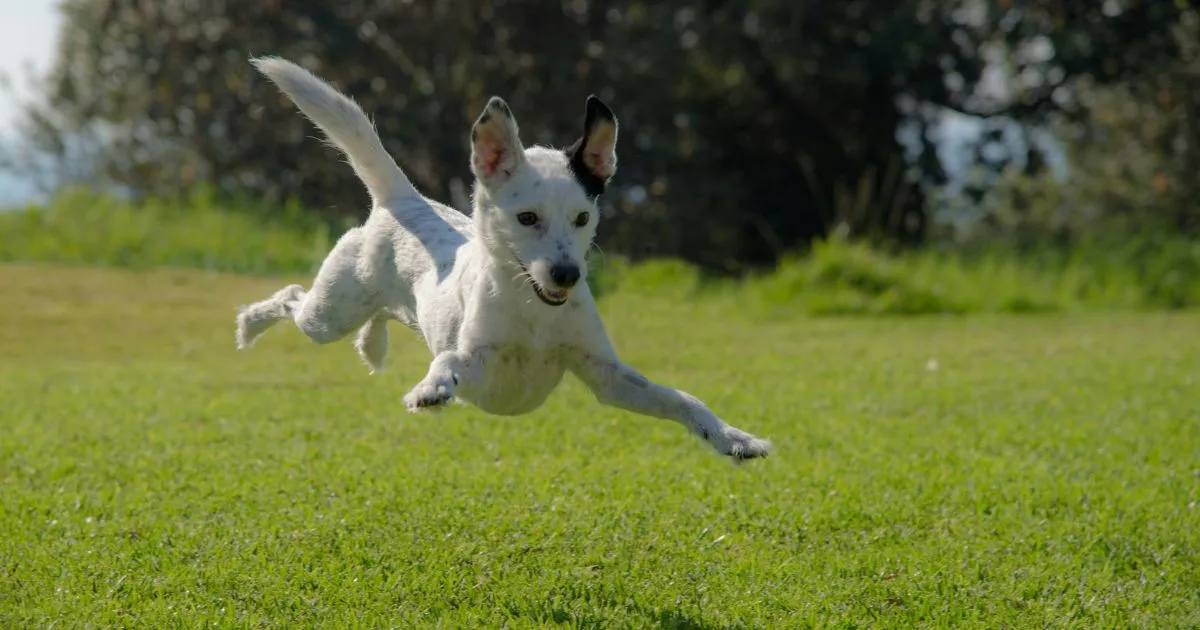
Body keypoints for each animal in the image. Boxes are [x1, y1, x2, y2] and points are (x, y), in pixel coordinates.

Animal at [234, 56, 772, 458]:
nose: (567, 274)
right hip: (329, 313)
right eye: (527, 218)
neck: (533, 311)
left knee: (380, 314)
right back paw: (250, 325)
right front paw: (431, 388)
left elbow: (682, 399)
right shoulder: (479, 362)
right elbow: (449, 360)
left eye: (582, 218)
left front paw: (732, 438)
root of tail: (403, 200)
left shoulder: (607, 376)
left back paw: (372, 345)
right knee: (292, 297)